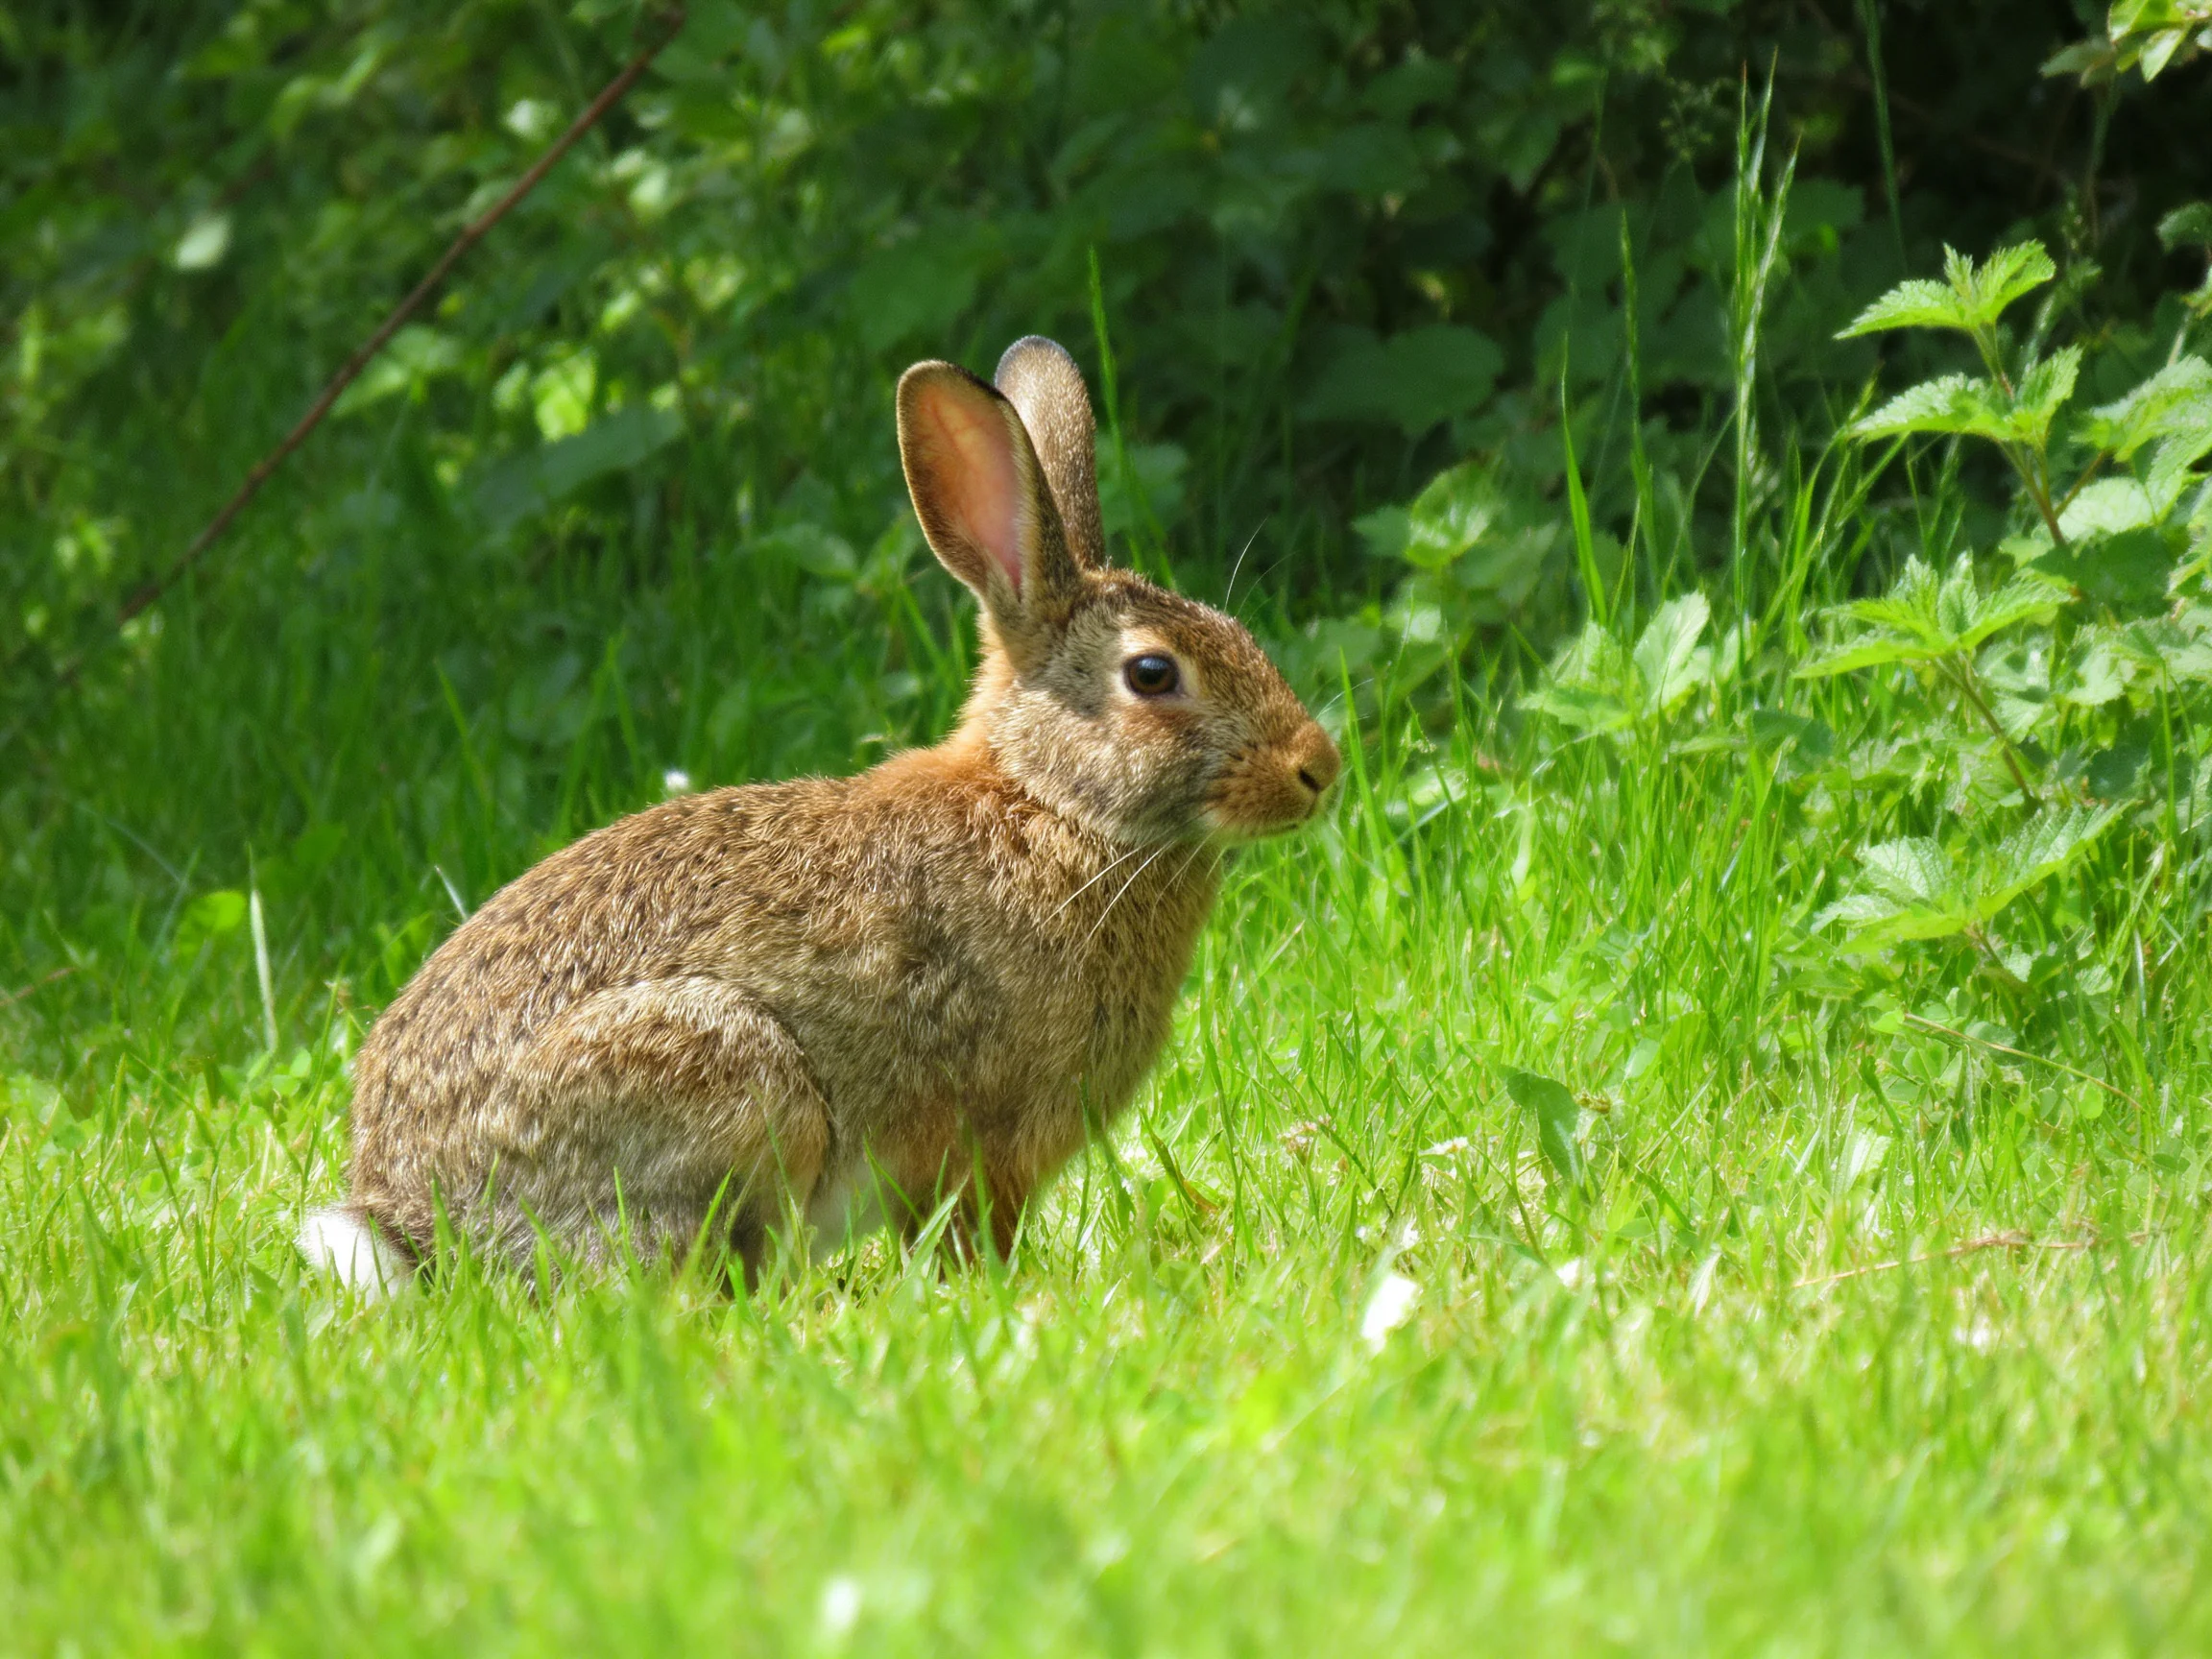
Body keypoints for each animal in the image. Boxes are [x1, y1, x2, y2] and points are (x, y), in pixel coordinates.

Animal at [298, 336, 1340, 1293]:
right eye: (1153, 674)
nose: (1317, 769)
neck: (1050, 804)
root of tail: (419, 1226)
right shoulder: (979, 1140)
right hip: (726, 1073)